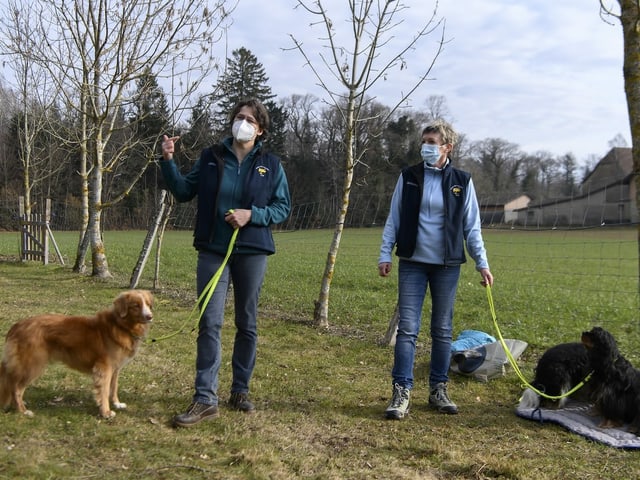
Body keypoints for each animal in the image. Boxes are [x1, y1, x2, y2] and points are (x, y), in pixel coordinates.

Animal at [0, 290, 152, 418]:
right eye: (136, 305)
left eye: (148, 304)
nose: (150, 316)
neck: (120, 325)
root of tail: (17, 326)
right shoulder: (104, 368)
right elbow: (103, 391)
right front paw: (106, 412)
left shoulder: (115, 368)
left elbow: (113, 388)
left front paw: (117, 404)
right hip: (33, 365)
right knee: (16, 388)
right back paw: (22, 411)